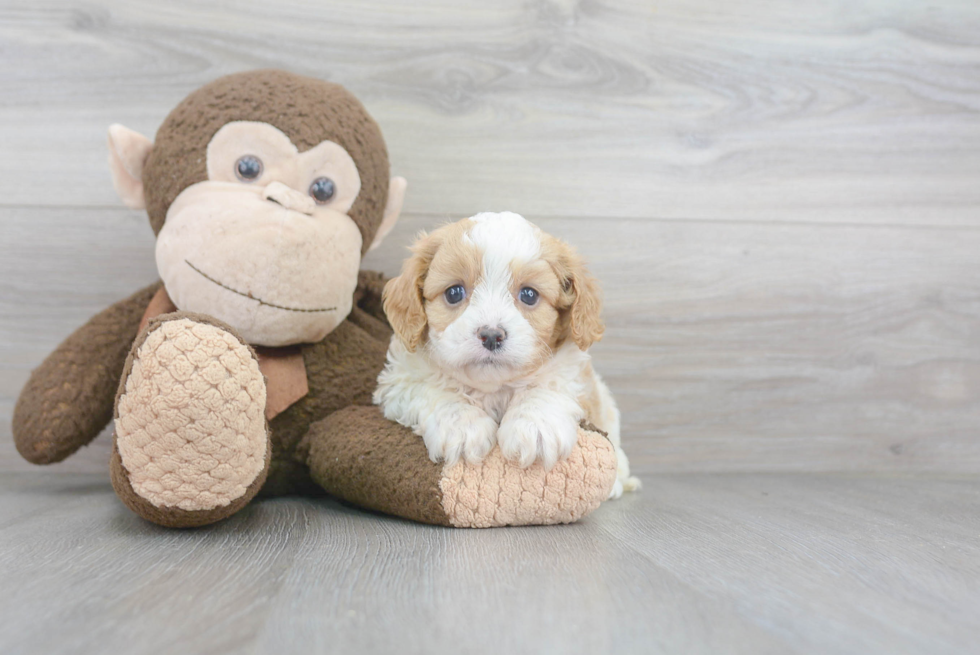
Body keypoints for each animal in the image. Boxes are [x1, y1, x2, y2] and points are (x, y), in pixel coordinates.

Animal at [372, 213, 640, 500]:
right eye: (454, 293)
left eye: (529, 295)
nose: (491, 335)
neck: (493, 388)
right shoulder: (399, 380)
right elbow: (431, 389)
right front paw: (462, 425)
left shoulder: (574, 374)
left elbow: (547, 385)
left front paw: (535, 426)